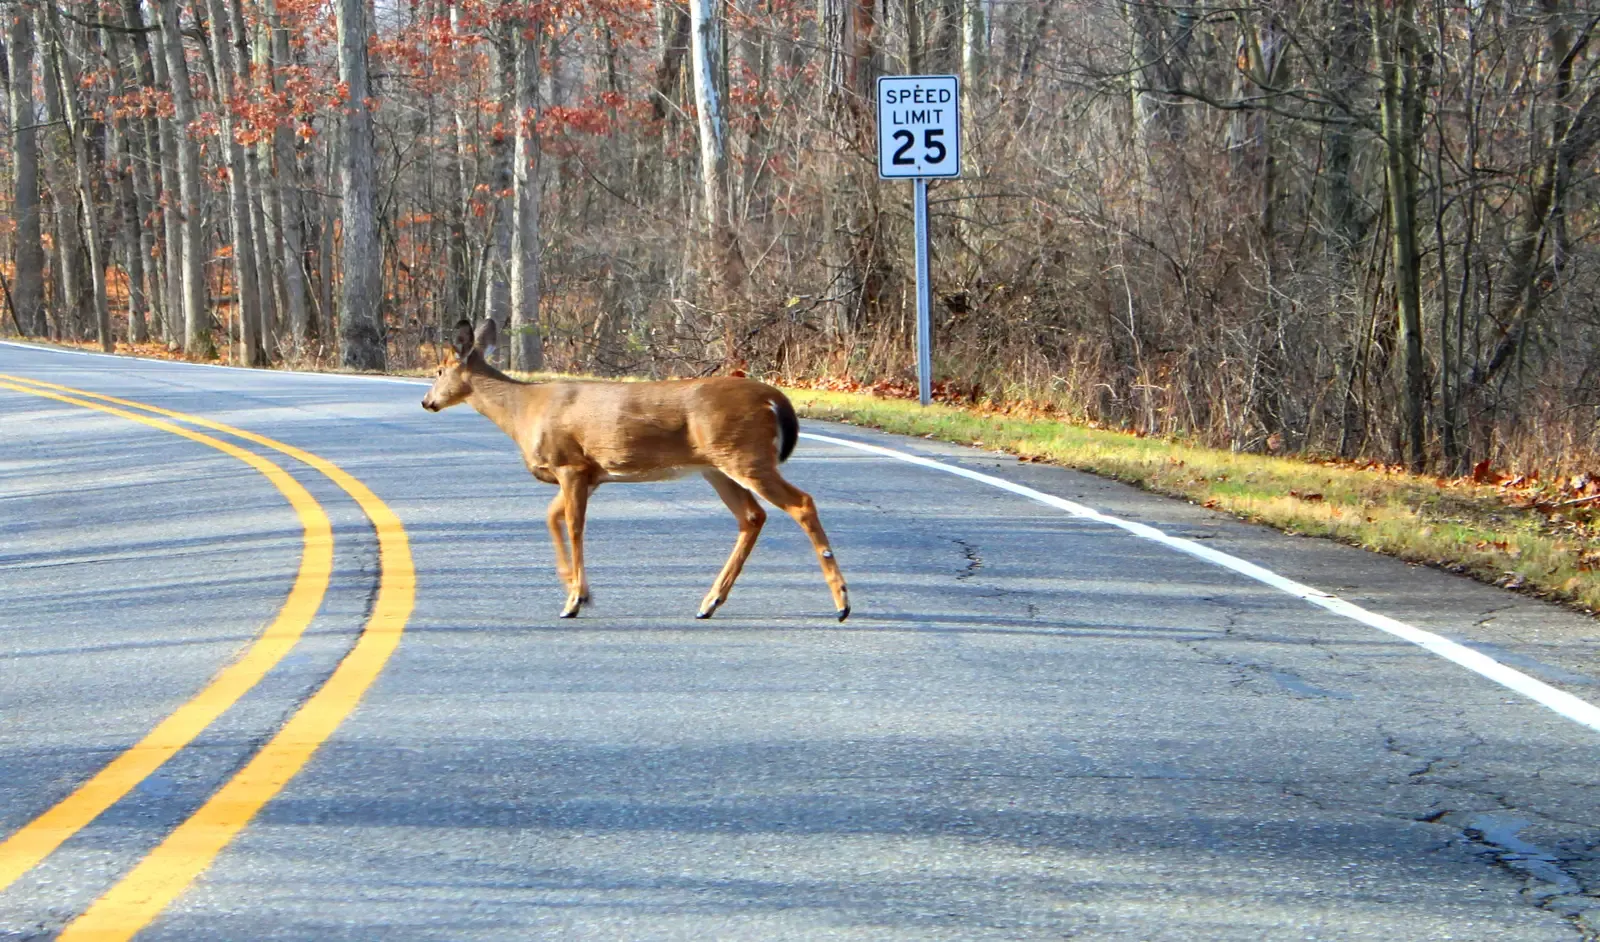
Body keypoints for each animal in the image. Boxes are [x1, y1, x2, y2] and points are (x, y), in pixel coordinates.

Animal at [421, 318, 851, 622]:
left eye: (439, 370)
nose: (427, 401)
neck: (522, 411)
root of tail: (774, 398)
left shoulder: (570, 464)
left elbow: (574, 527)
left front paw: (574, 600)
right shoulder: (589, 474)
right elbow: (550, 518)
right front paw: (579, 590)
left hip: (745, 455)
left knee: (801, 503)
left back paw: (841, 603)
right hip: (717, 466)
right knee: (752, 516)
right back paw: (709, 602)